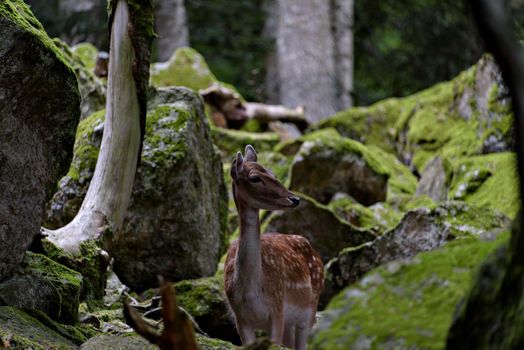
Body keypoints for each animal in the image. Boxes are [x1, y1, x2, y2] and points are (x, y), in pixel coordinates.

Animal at [224, 144, 324, 348]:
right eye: (255, 178)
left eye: (273, 173)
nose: (295, 199)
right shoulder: (240, 318)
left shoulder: (277, 308)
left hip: (310, 310)